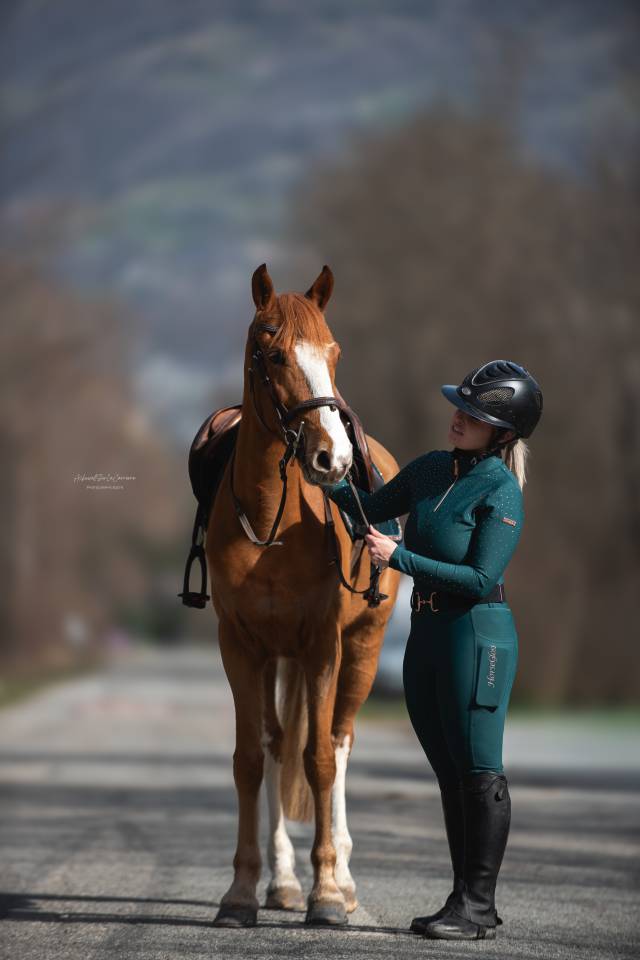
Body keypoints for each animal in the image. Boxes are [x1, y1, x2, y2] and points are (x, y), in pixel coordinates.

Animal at [207, 263, 401, 927]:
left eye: (333, 353)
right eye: (273, 353)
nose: (332, 458)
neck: (274, 521)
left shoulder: (322, 646)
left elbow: (318, 759)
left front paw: (326, 894)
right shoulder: (241, 646)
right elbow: (249, 759)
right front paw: (243, 891)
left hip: (363, 649)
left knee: (338, 743)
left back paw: (341, 876)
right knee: (276, 744)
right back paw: (284, 880)